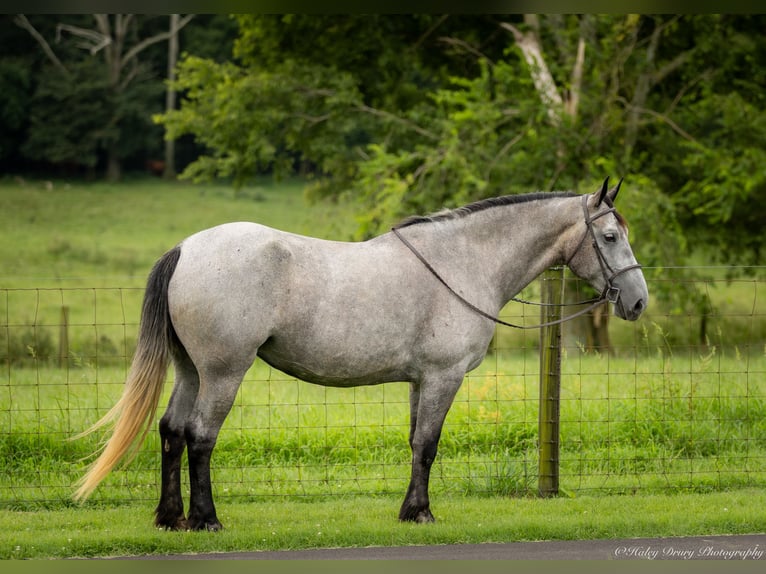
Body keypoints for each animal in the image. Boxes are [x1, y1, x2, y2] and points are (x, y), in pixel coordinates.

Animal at [73, 179, 648, 532]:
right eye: (609, 236)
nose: (638, 301)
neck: (462, 260)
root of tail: (187, 249)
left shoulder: (420, 381)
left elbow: (416, 444)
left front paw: (409, 511)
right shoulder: (444, 378)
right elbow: (429, 445)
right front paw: (421, 514)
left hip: (190, 371)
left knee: (171, 432)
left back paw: (170, 518)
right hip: (222, 374)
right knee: (199, 438)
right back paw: (205, 519)